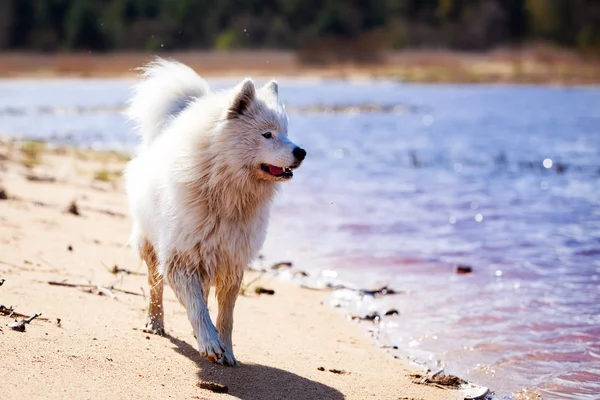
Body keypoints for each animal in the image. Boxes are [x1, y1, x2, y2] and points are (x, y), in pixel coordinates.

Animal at [125, 57, 308, 368]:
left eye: (285, 132)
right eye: (267, 134)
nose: (302, 152)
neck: (224, 191)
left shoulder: (230, 261)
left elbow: (226, 316)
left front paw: (227, 352)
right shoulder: (180, 259)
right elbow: (197, 308)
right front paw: (209, 343)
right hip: (150, 245)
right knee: (154, 286)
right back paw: (155, 323)